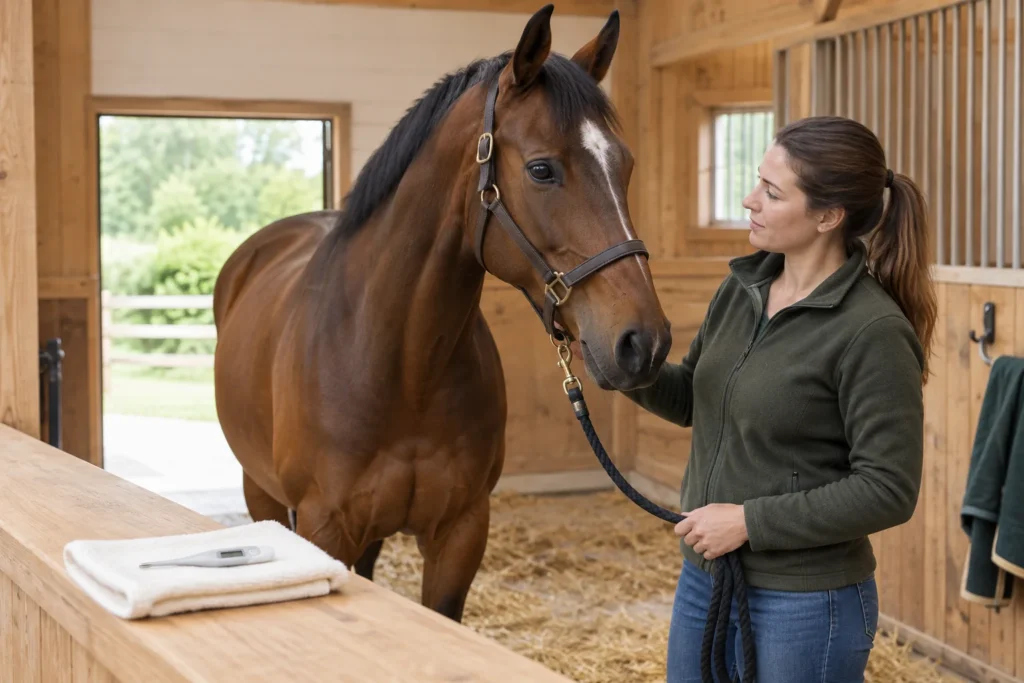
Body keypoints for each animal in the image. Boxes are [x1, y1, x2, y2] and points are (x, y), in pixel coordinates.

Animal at [211, 3, 672, 623]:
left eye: (625, 165)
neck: (402, 367)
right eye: (542, 170)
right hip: (261, 493)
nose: (644, 342)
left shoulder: (461, 531)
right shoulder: (324, 527)